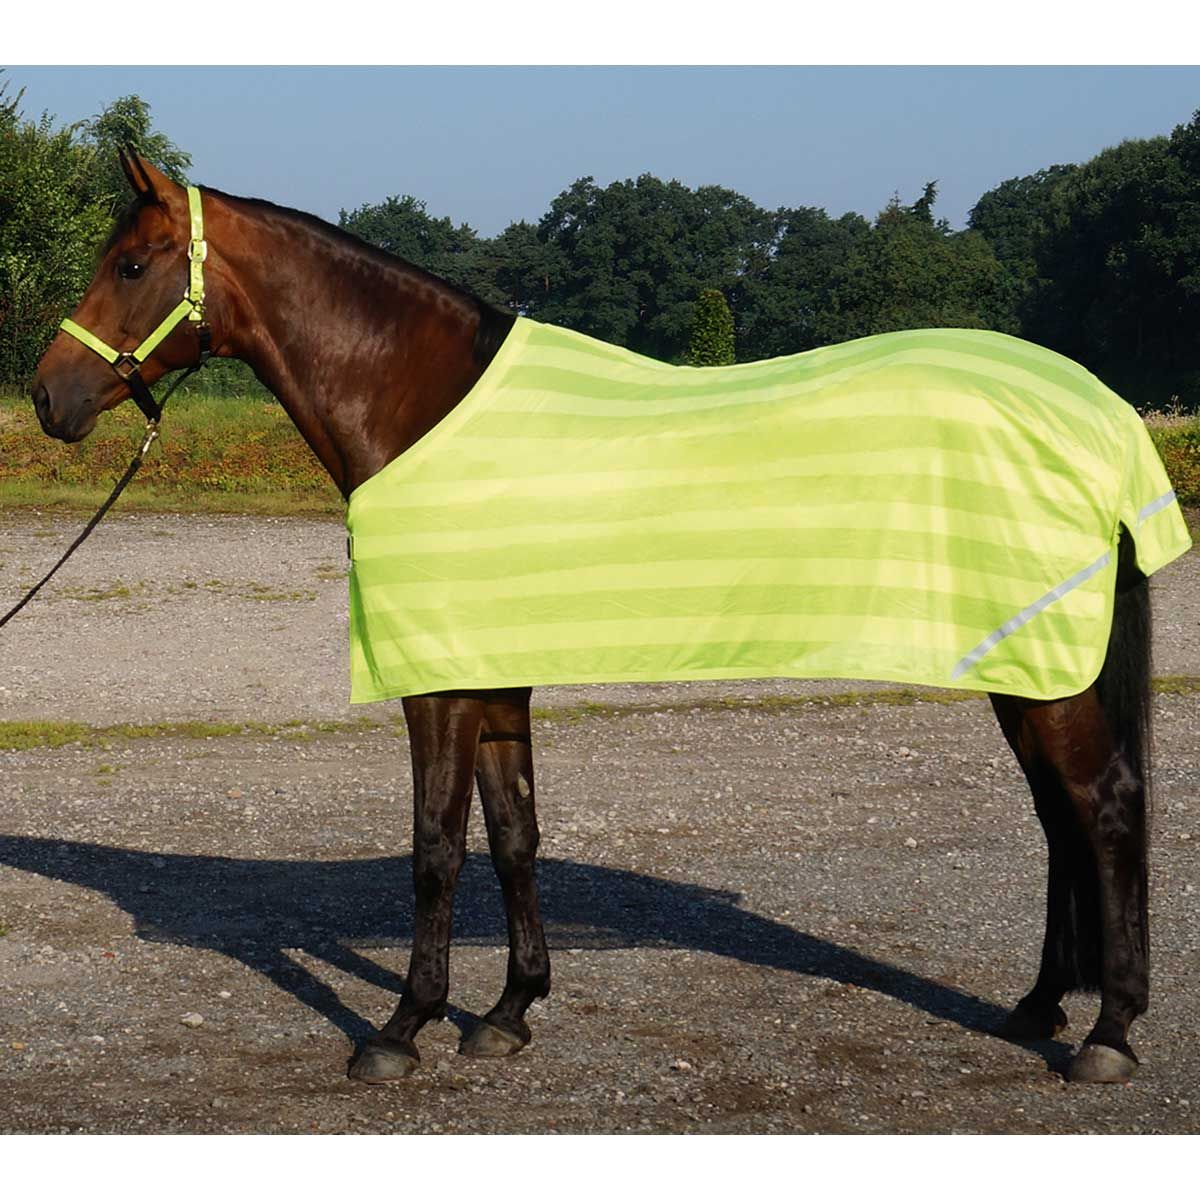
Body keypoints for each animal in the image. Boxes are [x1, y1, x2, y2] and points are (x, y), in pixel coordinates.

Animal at [29, 150, 1177, 1086]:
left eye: (132, 265)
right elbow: (515, 836)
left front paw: (401, 1030)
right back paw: (1039, 1006)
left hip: (1048, 670)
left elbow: (436, 847)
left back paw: (1109, 1035)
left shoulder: (439, 683)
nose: (48, 397)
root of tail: (1102, 413)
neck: (423, 408)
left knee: (1105, 807)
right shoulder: (493, 676)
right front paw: (507, 1012)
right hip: (1023, 665)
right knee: (1060, 819)